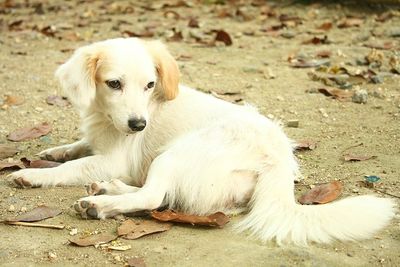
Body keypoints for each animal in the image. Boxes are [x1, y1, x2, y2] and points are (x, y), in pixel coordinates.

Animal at [9, 38, 394, 247]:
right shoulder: (100, 143)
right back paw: (110, 188)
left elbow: (72, 166)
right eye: (114, 84)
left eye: (150, 85)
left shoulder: (114, 158)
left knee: (154, 196)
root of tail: (279, 161)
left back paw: (100, 203)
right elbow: (75, 148)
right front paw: (52, 151)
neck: (107, 117)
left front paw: (33, 175)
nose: (139, 125)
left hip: (174, 154)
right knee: (159, 194)